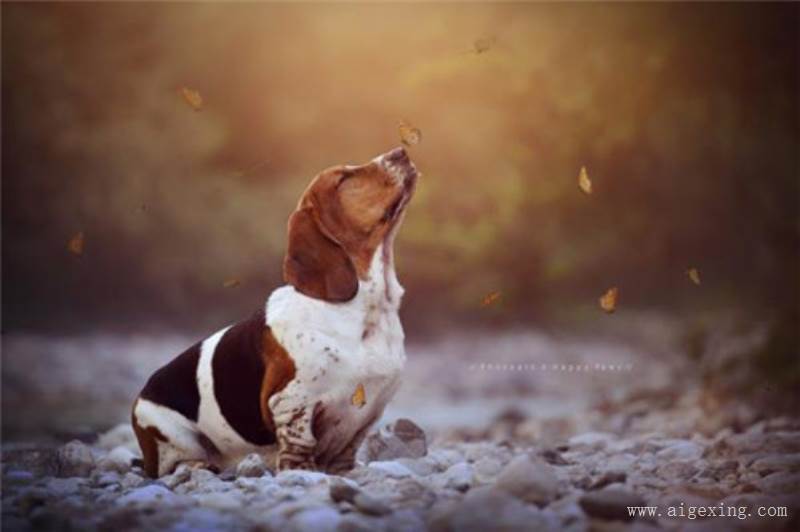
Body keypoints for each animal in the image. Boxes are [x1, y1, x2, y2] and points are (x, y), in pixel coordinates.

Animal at [131, 147, 418, 478]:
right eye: (344, 178)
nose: (401, 151)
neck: (366, 308)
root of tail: (141, 395)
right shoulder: (292, 402)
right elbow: (300, 442)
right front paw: (301, 472)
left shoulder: (368, 413)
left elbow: (349, 449)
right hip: (170, 433)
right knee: (173, 465)